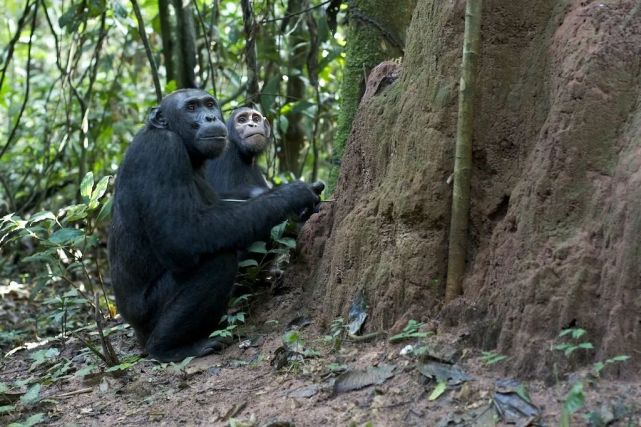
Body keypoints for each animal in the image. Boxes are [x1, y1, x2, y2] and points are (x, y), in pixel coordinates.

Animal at [108, 88, 324, 362]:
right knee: (218, 261)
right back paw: (169, 347)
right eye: (191, 108)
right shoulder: (164, 152)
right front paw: (293, 195)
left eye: (209, 104)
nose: (210, 117)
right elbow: (183, 236)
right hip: (147, 314)